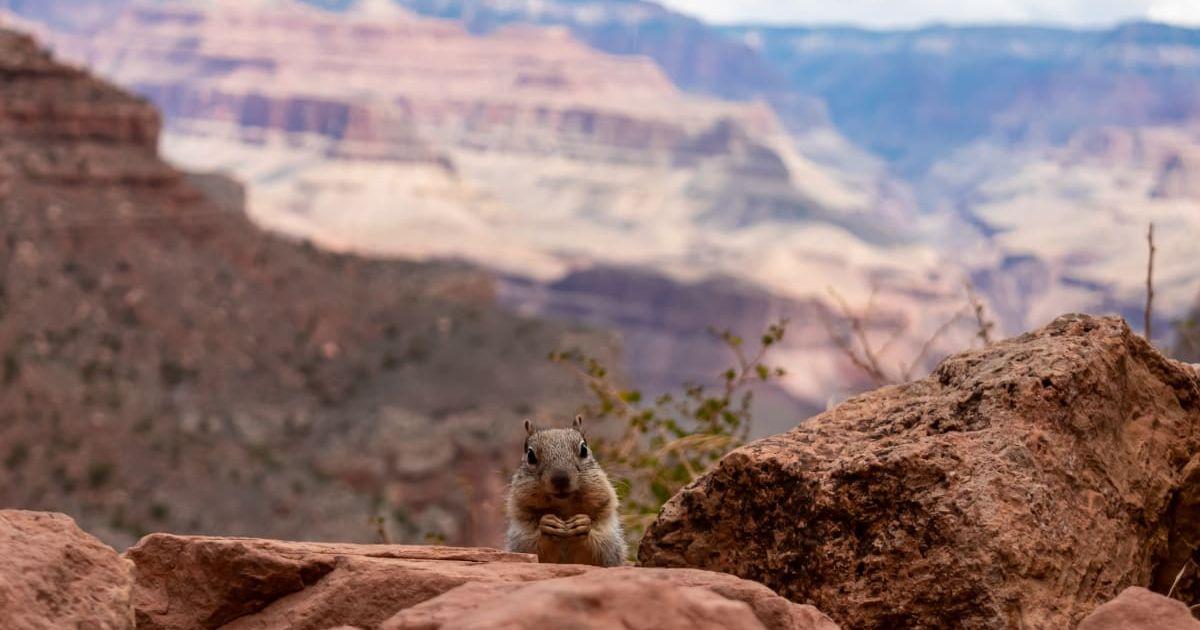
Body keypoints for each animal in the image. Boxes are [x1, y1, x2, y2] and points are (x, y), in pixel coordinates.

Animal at [504, 415, 627, 566]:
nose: (560, 478)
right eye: (530, 456)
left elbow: (600, 551)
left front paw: (583, 524)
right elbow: (532, 548)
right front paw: (546, 524)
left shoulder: (609, 537)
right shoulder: (521, 537)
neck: (563, 510)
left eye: (584, 449)